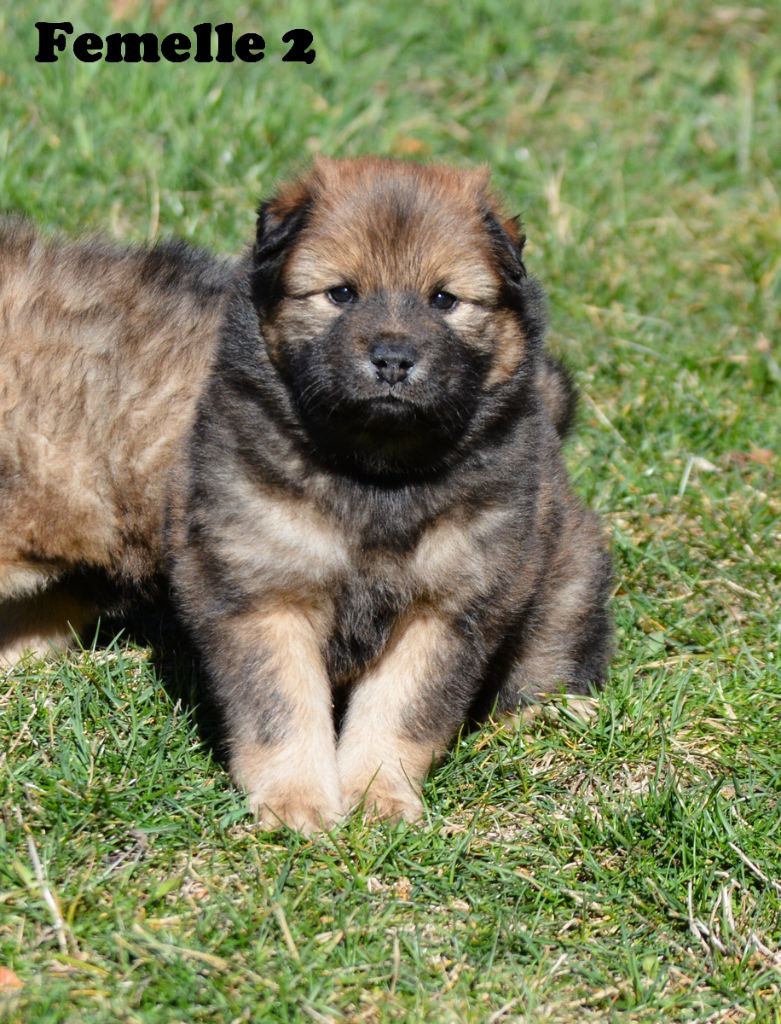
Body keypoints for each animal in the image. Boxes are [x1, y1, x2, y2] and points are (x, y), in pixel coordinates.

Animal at [0, 158, 612, 832]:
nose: (393, 359)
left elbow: (401, 709)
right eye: (341, 294)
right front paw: (298, 803)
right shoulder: (263, 590)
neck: (376, 475)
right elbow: (282, 706)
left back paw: (551, 714)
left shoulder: (449, 607)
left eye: (444, 300)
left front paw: (378, 798)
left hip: (560, 560)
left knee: (559, 632)